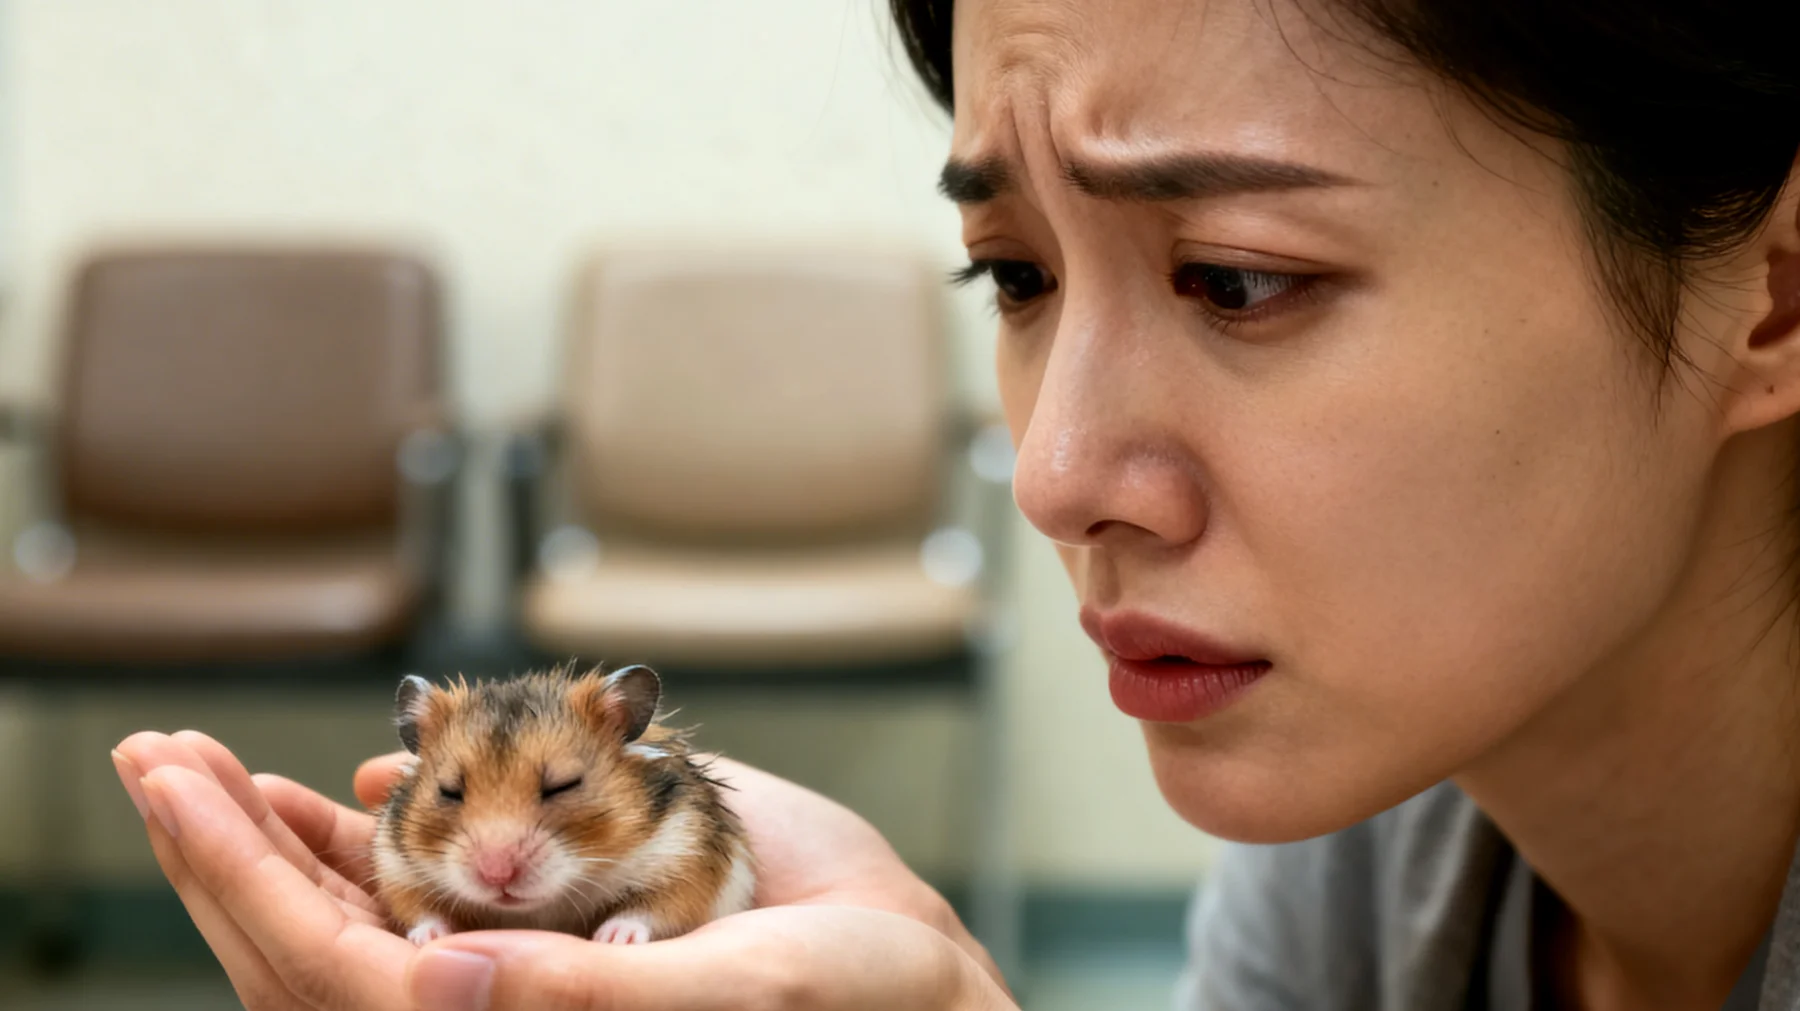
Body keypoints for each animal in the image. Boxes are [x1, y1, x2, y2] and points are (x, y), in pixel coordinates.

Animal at [370, 664, 756, 946]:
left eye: (563, 785)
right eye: (449, 791)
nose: (497, 876)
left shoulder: (687, 853)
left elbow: (656, 908)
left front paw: (613, 938)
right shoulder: (396, 866)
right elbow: (419, 909)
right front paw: (429, 938)